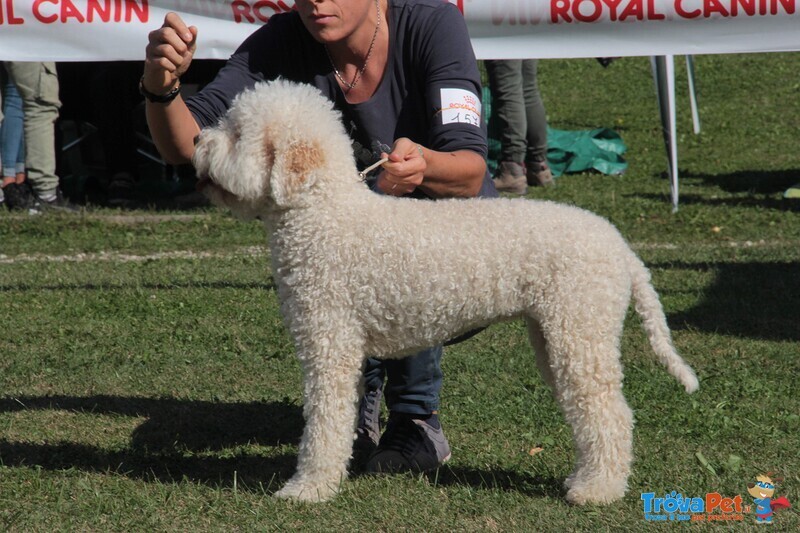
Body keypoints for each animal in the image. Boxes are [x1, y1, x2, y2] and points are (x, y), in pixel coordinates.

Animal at [194, 78, 700, 502]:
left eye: (236, 132)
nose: (198, 141)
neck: (323, 212)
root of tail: (621, 247)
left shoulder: (328, 344)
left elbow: (322, 423)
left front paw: (307, 489)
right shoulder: (344, 346)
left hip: (581, 333)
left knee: (610, 413)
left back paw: (597, 491)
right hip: (558, 334)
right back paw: (585, 479)